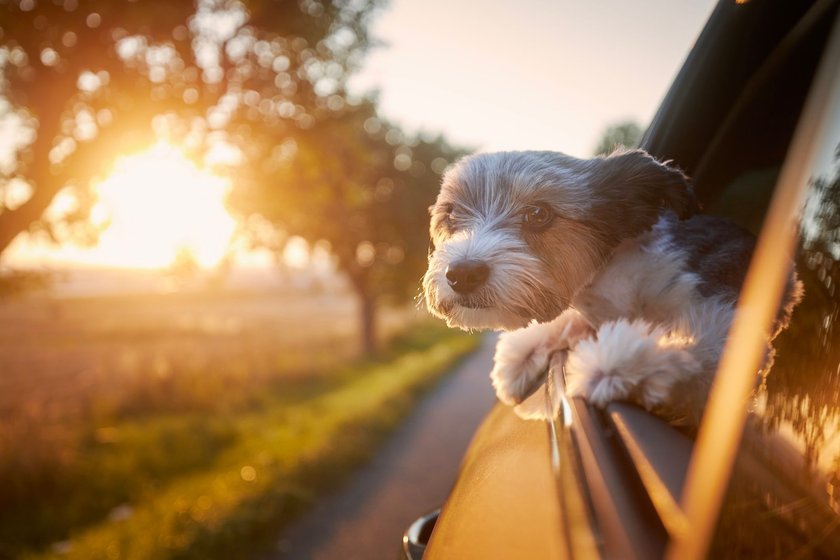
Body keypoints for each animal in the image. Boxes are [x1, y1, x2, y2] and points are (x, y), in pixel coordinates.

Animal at [424, 149, 796, 424]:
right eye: (451, 214)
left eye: (538, 213)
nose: (461, 273)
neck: (621, 274)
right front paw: (522, 352)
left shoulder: (726, 314)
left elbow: (701, 351)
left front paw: (615, 363)